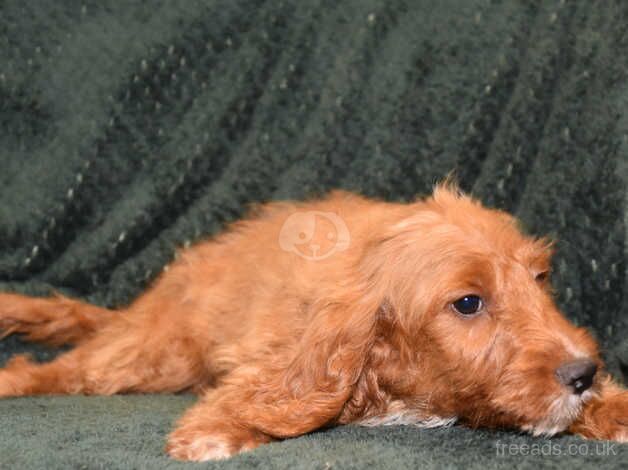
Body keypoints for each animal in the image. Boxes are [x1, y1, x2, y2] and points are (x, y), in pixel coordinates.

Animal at [0, 184, 624, 458]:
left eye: (540, 279)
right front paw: (218, 429)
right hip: (153, 356)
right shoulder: (282, 356)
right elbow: (262, 392)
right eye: (469, 303)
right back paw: (14, 379)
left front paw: (612, 408)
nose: (583, 374)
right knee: (64, 370)